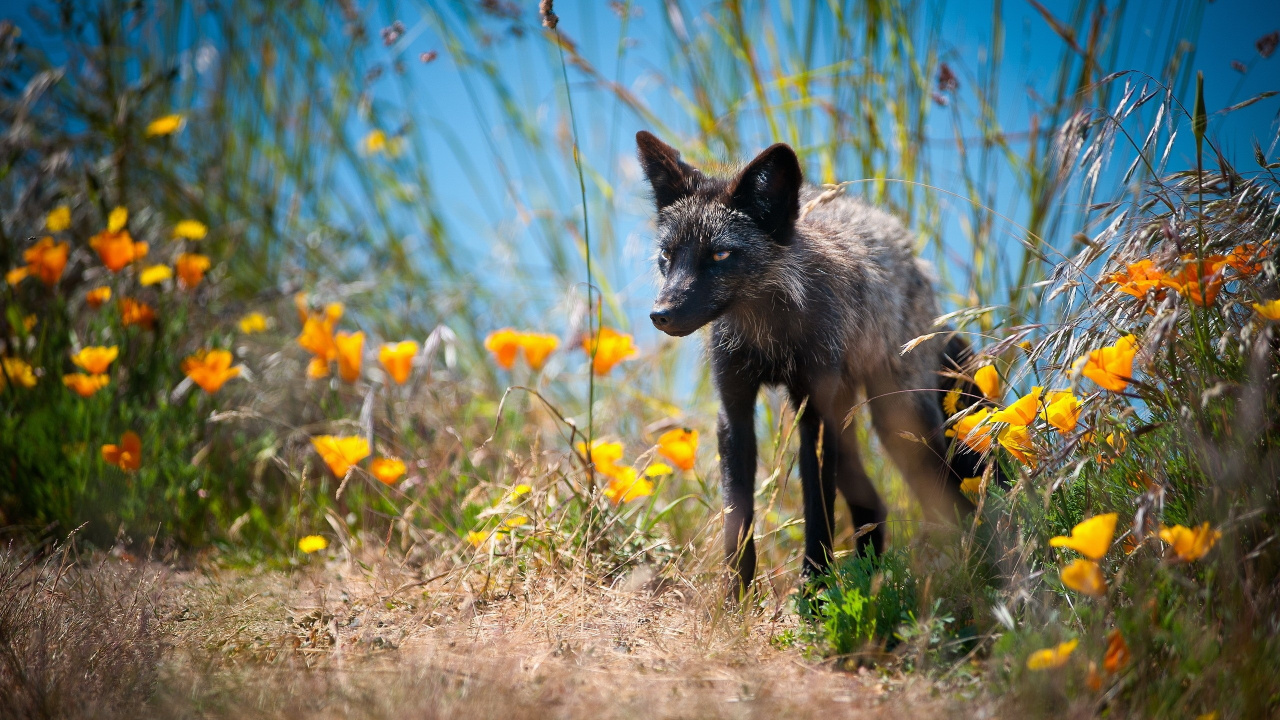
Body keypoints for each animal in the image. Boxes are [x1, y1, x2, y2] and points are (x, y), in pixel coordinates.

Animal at [636, 131, 986, 594]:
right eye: (667, 255)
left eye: (720, 256)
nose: (661, 314)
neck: (769, 339)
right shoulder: (734, 413)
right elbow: (737, 519)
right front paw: (735, 598)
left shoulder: (814, 417)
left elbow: (817, 512)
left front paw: (815, 591)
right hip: (853, 423)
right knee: (874, 507)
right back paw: (873, 577)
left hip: (898, 422)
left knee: (954, 499)